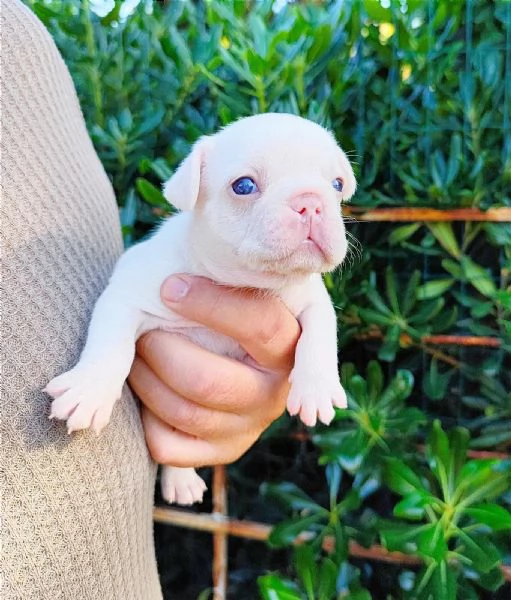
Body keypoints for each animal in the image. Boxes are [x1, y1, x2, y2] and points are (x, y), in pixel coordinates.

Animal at [45, 113, 356, 506]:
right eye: (243, 186)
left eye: (336, 184)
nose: (311, 202)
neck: (245, 283)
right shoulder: (126, 295)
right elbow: (110, 346)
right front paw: (89, 390)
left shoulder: (312, 296)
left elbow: (322, 329)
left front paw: (317, 387)